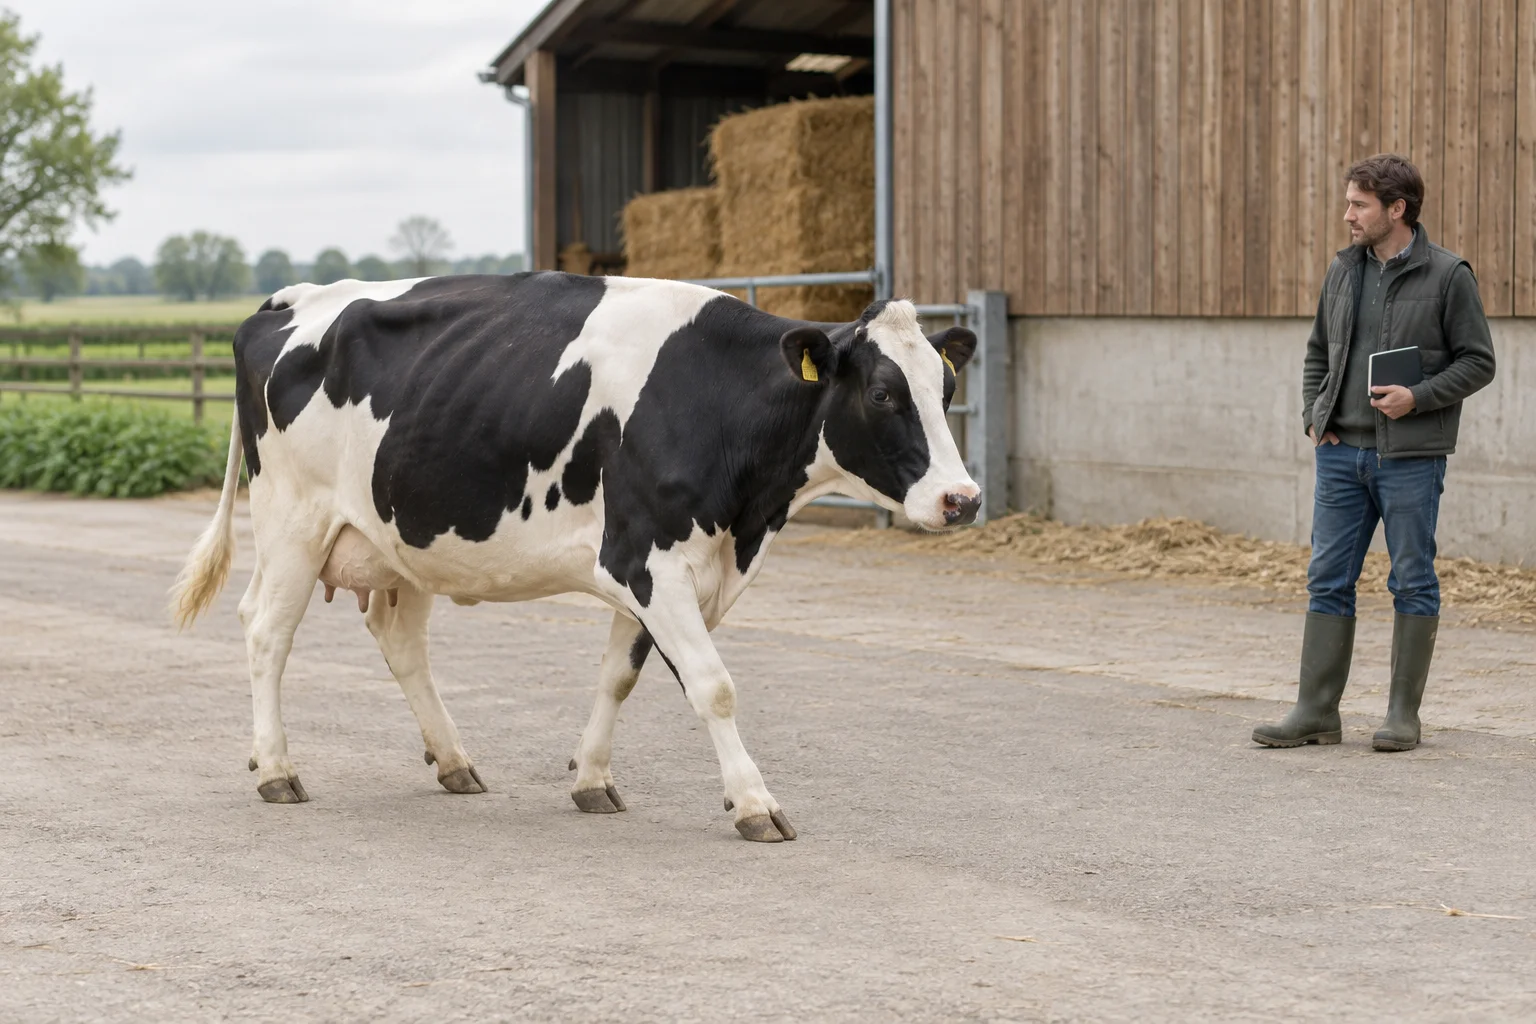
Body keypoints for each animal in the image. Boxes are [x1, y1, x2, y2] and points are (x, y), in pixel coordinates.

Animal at [171, 272, 980, 842]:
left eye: (946, 388)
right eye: (882, 394)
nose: (962, 499)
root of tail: (294, 297)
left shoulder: (659, 568)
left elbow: (618, 677)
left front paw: (591, 779)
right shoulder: (649, 557)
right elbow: (713, 686)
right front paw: (754, 802)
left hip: (401, 536)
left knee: (399, 641)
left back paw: (454, 761)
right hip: (293, 520)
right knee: (266, 631)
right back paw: (277, 769)